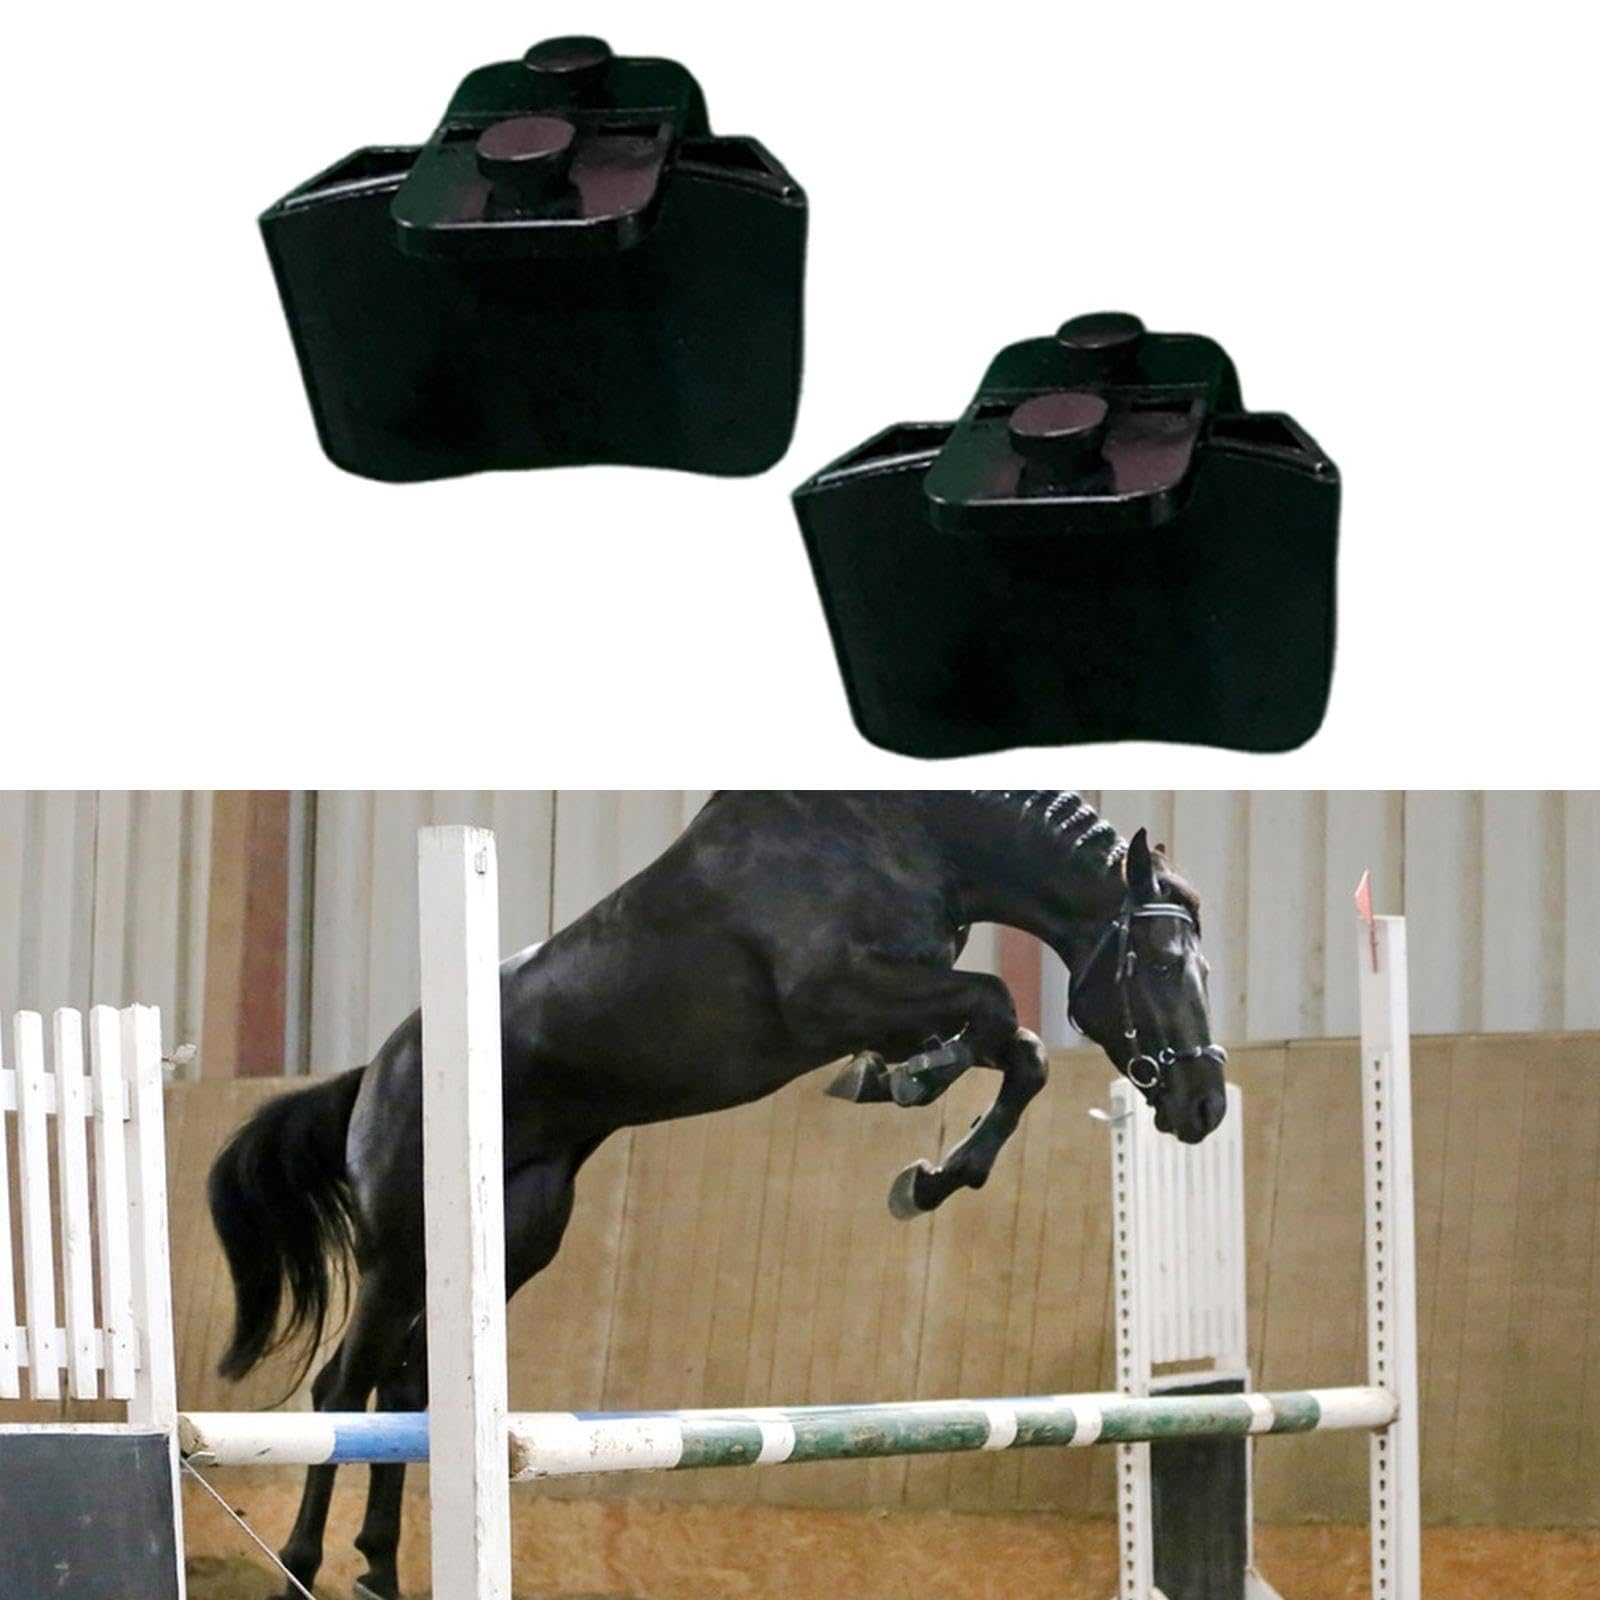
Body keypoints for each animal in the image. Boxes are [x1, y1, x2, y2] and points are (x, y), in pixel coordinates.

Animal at [208, 790, 1227, 1600]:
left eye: (1203, 968)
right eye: (1161, 966)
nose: (1205, 1104)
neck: (902, 835)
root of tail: (379, 1069)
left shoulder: (897, 998)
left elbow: (1011, 1046)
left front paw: (917, 1128)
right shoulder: (839, 994)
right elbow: (1000, 1015)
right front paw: (921, 1144)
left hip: (515, 1234)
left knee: (413, 1382)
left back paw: (379, 1567)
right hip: (398, 1244)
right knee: (346, 1385)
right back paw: (302, 1564)